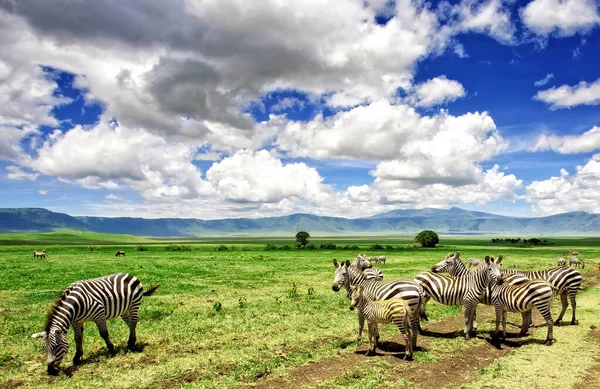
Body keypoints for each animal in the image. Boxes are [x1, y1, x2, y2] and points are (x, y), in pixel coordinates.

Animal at [30, 272, 158, 374]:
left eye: (56, 346)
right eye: (43, 348)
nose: (50, 371)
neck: (76, 305)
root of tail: (130, 274)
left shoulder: (99, 315)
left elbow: (104, 334)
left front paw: (112, 350)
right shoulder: (76, 322)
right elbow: (78, 338)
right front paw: (77, 357)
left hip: (133, 305)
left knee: (133, 323)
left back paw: (131, 344)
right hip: (124, 309)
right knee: (130, 324)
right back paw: (132, 341)